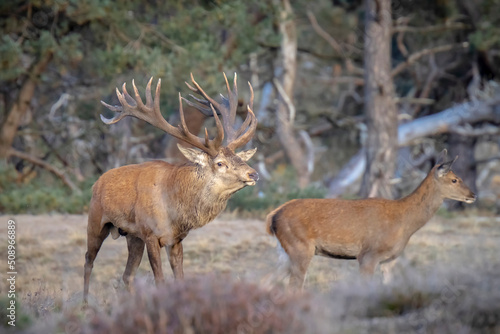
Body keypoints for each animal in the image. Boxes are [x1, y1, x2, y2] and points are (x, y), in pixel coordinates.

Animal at [83, 73, 258, 302]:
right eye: (220, 163)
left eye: (239, 158)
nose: (253, 174)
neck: (174, 210)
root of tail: (98, 182)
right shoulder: (150, 234)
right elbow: (160, 280)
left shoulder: (176, 240)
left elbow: (179, 279)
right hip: (96, 221)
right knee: (88, 260)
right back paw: (84, 304)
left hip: (132, 236)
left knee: (127, 276)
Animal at [266, 152, 476, 290]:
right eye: (455, 179)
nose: (473, 194)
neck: (405, 222)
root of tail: (273, 215)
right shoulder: (368, 255)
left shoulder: (389, 260)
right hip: (300, 247)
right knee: (293, 288)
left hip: (284, 252)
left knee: (266, 281)